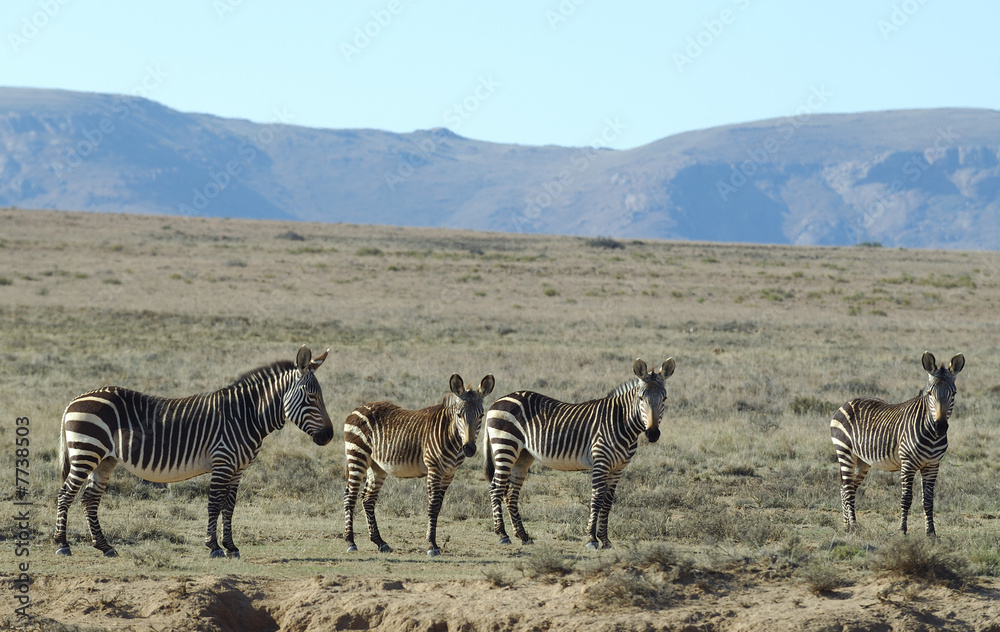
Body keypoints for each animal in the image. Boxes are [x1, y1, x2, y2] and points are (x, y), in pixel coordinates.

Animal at [53, 345, 334, 558]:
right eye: (311, 397)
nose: (329, 436)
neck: (246, 416)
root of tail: (74, 400)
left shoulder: (237, 469)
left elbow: (229, 507)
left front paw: (231, 546)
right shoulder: (222, 462)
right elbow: (214, 504)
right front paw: (214, 547)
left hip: (105, 459)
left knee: (90, 498)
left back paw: (104, 546)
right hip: (86, 452)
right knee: (65, 494)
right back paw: (62, 544)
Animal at [343, 373, 495, 556]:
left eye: (481, 416)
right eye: (459, 415)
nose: (470, 449)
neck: (451, 435)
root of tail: (357, 408)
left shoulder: (449, 474)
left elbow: (438, 506)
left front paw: (433, 542)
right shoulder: (434, 469)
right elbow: (433, 505)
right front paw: (432, 545)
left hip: (377, 466)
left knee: (367, 499)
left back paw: (380, 542)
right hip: (357, 455)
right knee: (350, 497)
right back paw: (350, 541)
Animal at [485, 357, 675, 550]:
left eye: (664, 398)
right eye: (641, 398)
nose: (652, 434)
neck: (621, 421)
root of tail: (497, 401)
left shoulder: (618, 468)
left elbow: (608, 502)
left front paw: (605, 540)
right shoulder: (601, 461)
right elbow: (597, 498)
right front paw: (592, 538)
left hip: (522, 455)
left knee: (511, 493)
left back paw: (523, 535)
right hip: (505, 446)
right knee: (496, 488)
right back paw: (502, 534)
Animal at [830, 351, 965, 536]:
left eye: (954, 394)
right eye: (930, 393)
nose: (941, 426)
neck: (932, 435)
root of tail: (847, 402)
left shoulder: (932, 465)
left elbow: (928, 500)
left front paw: (931, 533)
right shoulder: (907, 464)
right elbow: (906, 498)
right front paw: (902, 530)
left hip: (862, 460)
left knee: (845, 488)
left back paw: (847, 527)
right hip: (845, 452)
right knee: (848, 489)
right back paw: (854, 527)